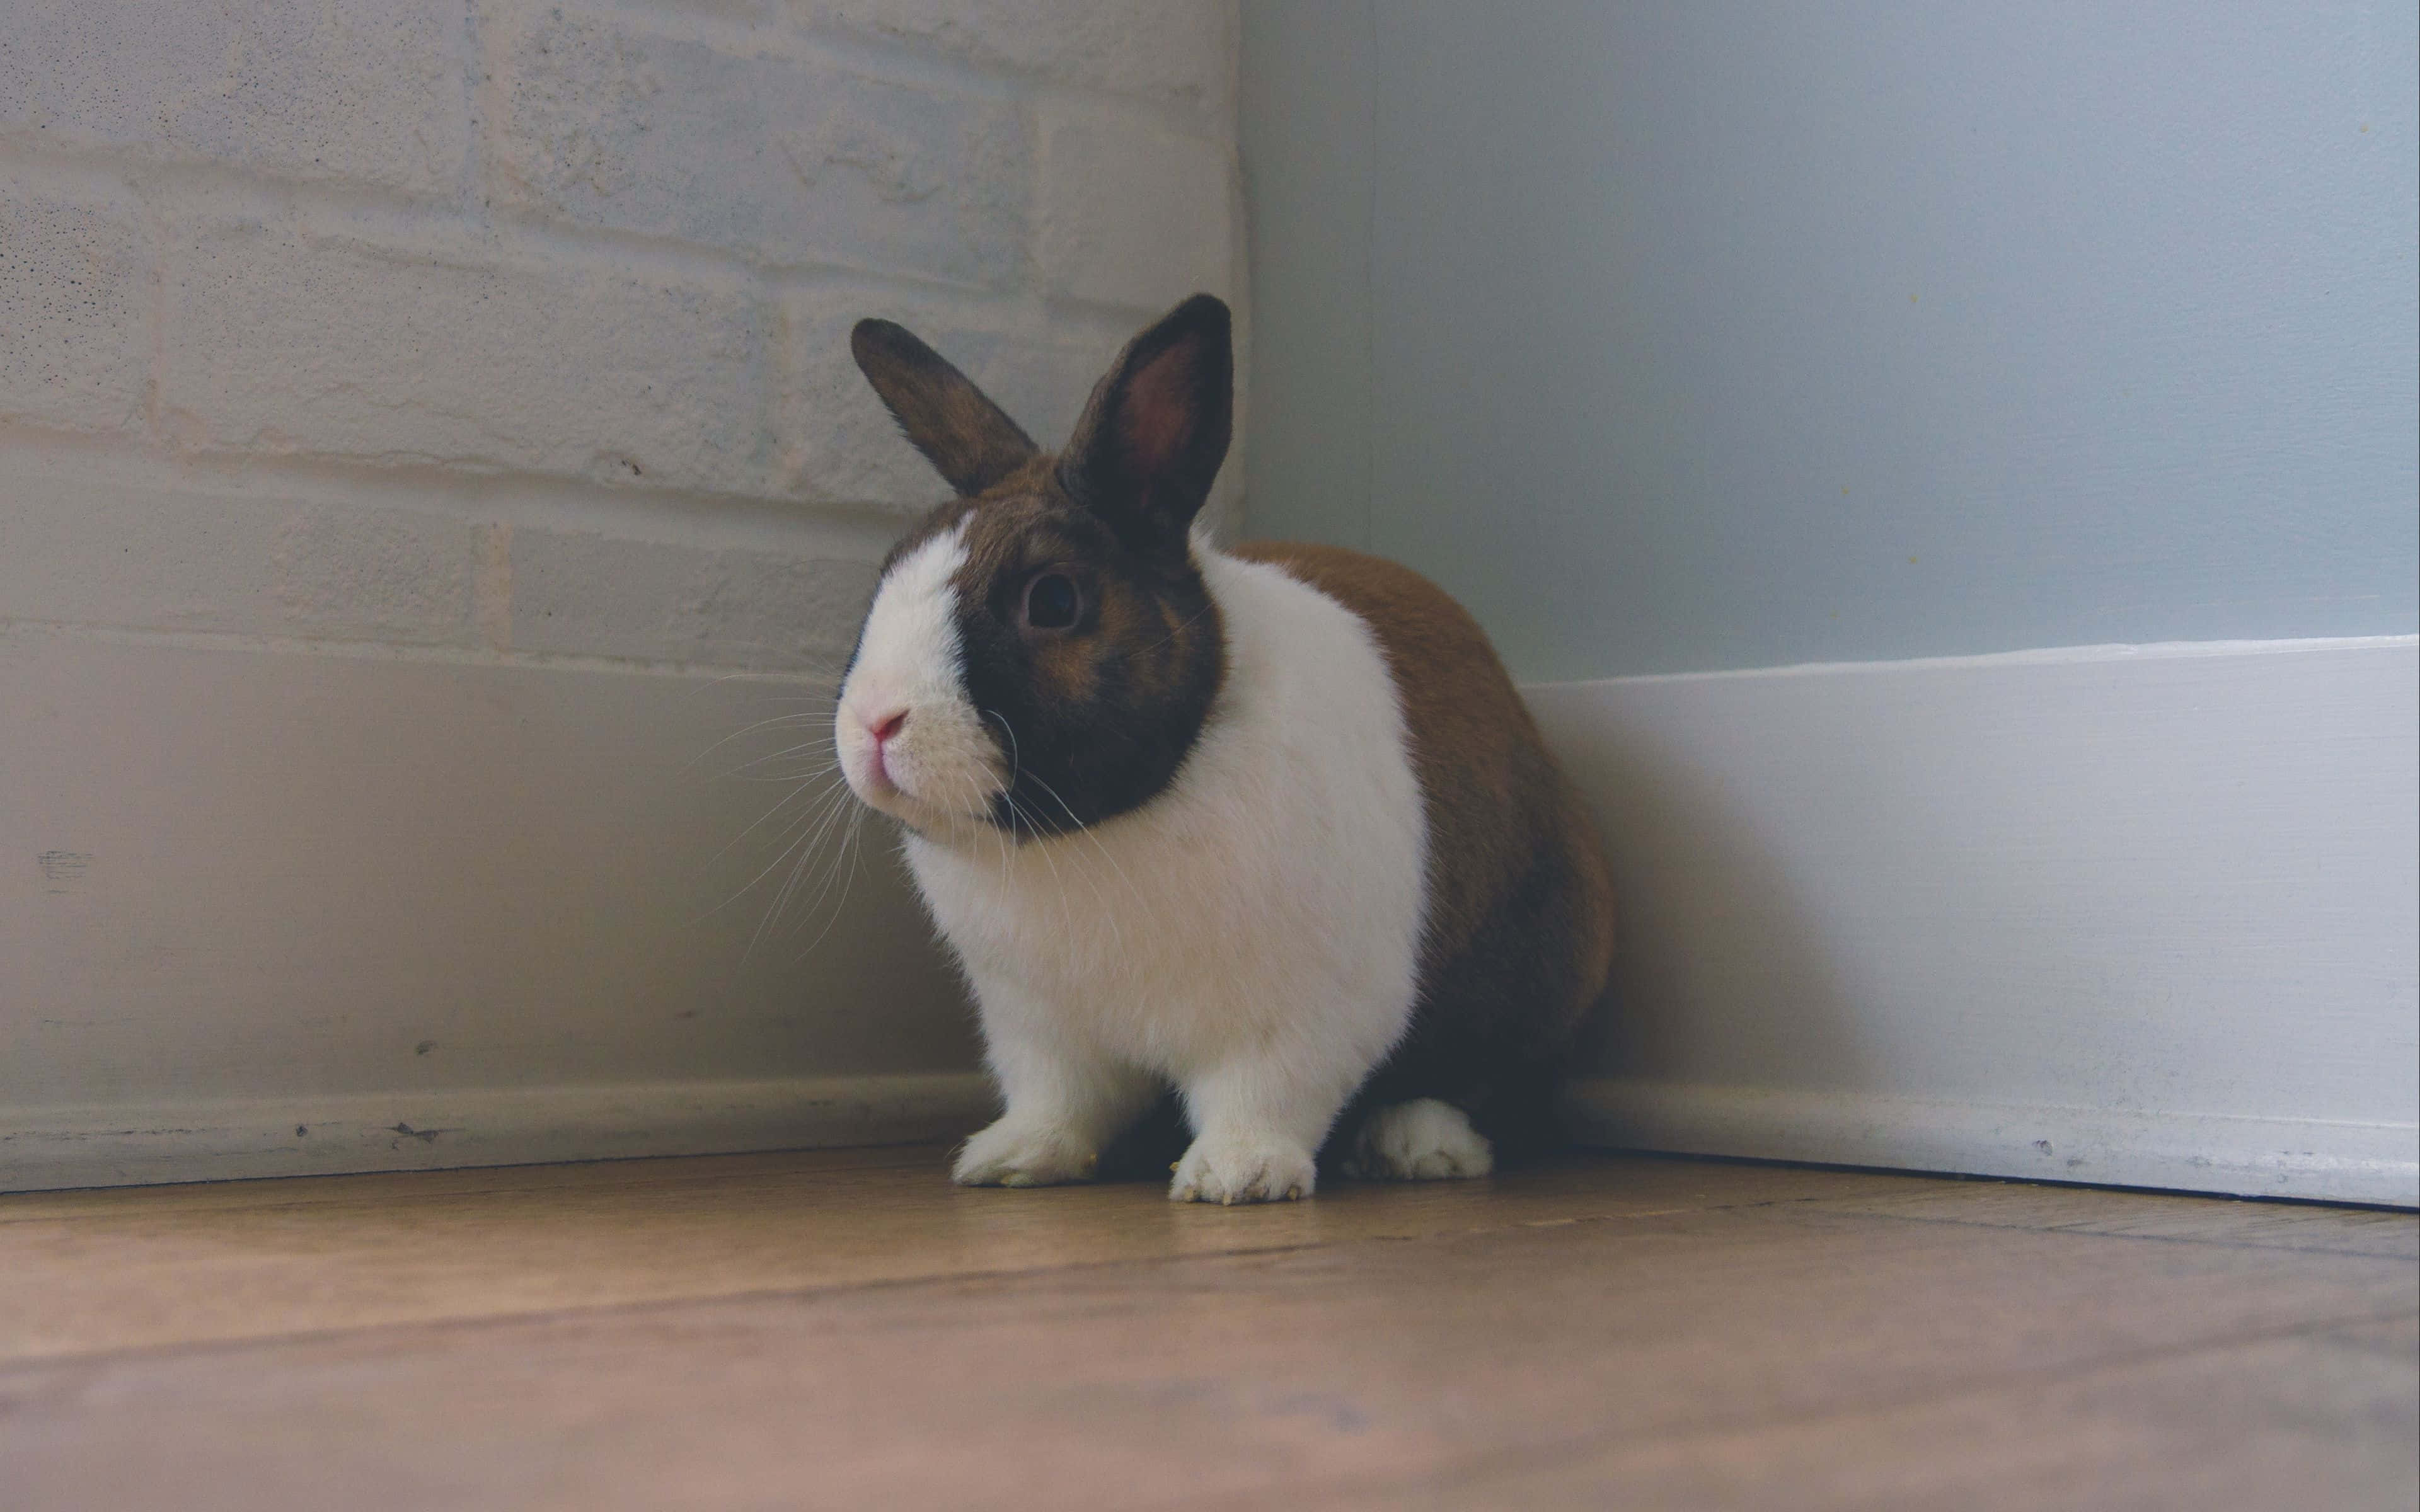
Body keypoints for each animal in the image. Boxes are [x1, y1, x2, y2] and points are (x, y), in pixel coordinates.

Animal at [833, 293, 1615, 1204]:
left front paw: (1236, 1177)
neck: (1091, 834)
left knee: (1482, 1085)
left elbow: (1263, 1093)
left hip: (1534, 981)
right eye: (886, 577)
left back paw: (1419, 1147)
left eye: (1054, 601)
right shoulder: (1038, 1027)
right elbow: (1059, 1101)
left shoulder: (1303, 1012)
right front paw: (1011, 1159)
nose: (876, 723)